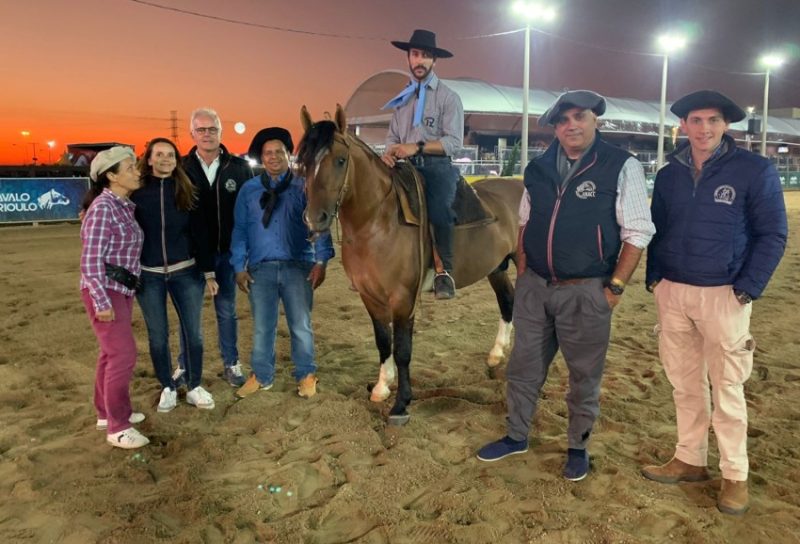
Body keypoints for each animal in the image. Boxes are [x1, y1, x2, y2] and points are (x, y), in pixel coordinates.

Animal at [296, 105, 520, 424]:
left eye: (340, 160)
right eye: (302, 162)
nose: (315, 219)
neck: (377, 221)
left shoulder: (403, 297)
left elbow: (402, 349)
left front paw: (401, 403)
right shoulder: (370, 295)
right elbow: (382, 340)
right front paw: (381, 386)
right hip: (496, 267)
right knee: (507, 300)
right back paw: (497, 354)